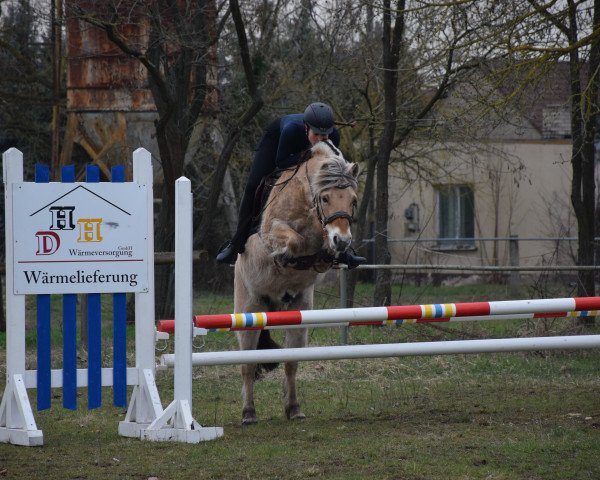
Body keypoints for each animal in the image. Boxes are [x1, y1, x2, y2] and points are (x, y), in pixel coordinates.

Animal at [232, 139, 358, 424]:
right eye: (325, 198)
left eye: (353, 200)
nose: (342, 240)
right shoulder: (274, 229)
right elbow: (294, 240)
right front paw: (285, 255)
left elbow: (319, 251)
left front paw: (332, 250)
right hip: (249, 309)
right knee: (247, 365)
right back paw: (248, 413)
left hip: (299, 312)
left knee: (291, 361)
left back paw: (293, 408)